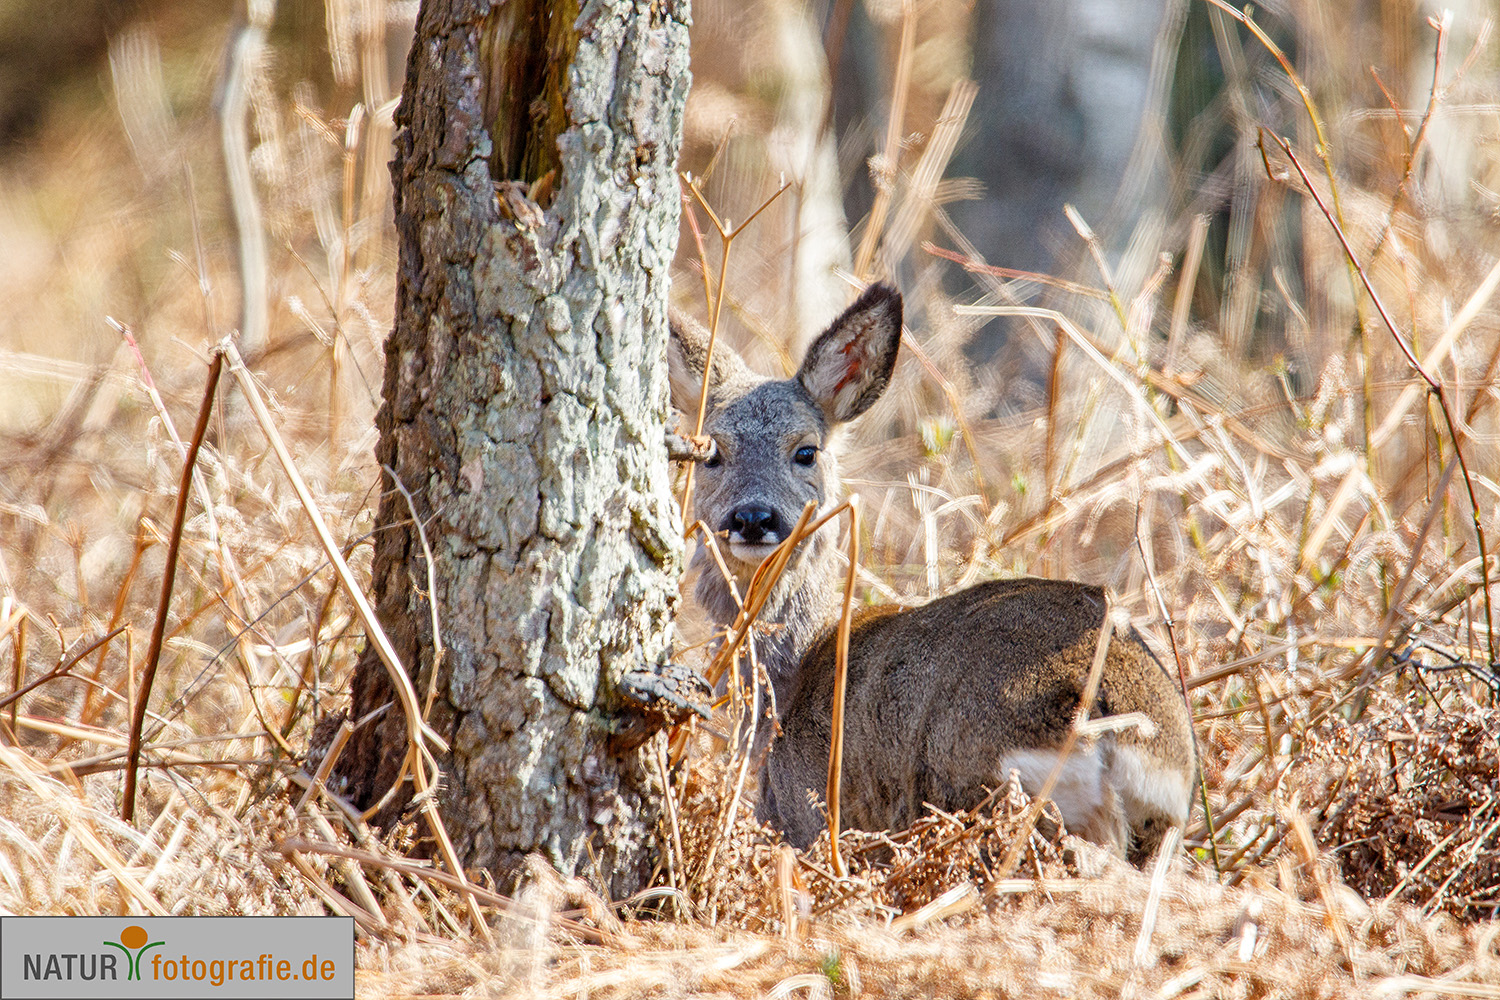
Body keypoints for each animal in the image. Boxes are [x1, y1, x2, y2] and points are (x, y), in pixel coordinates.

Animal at [669, 281, 1194, 863]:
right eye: (710, 454)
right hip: (1157, 828)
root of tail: (1115, 717)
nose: (753, 518)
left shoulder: (802, 817)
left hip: (986, 790)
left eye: (806, 451)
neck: (786, 686)